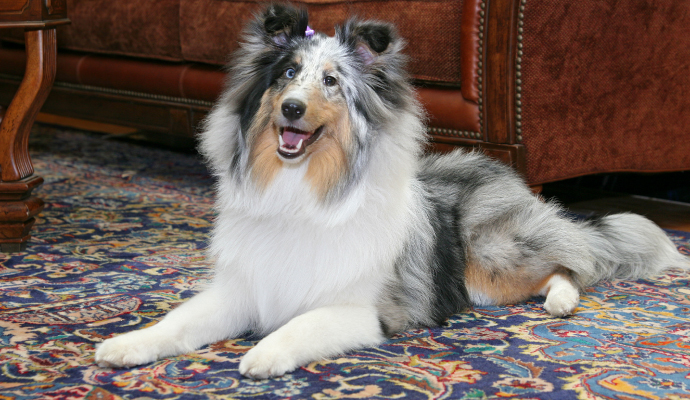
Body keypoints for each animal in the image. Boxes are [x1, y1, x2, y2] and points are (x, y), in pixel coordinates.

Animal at [92, 3, 688, 378]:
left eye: (331, 81)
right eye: (286, 74)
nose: (291, 110)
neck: (301, 191)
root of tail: (498, 169)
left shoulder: (364, 309)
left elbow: (302, 322)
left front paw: (263, 353)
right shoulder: (241, 290)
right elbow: (179, 320)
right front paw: (126, 345)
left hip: (491, 259)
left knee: (576, 262)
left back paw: (561, 298)